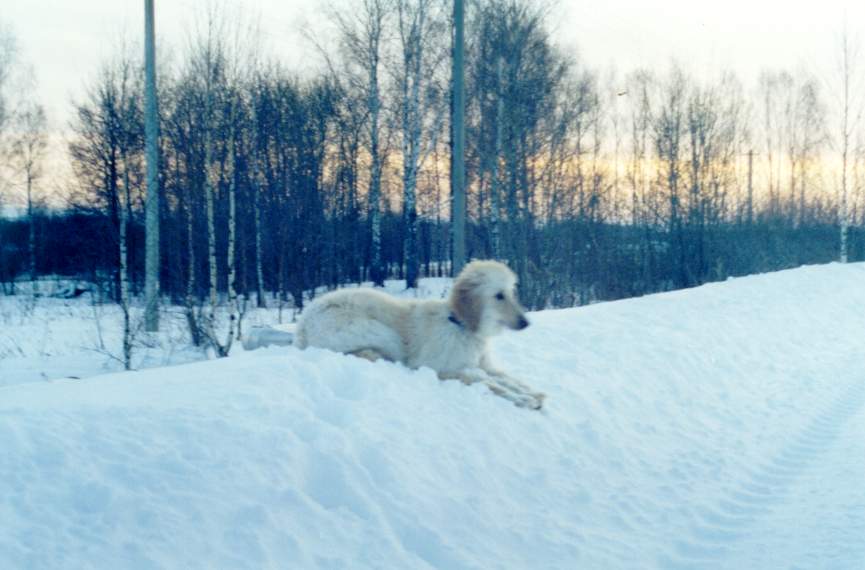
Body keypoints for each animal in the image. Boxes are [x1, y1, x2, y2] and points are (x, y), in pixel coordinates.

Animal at [294, 258, 544, 408]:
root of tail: (303, 323)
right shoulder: (440, 366)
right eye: (498, 295)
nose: (526, 322)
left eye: (512, 292)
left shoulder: (482, 363)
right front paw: (522, 399)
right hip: (379, 331)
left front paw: (530, 392)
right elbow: (487, 382)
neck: (461, 324)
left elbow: (505, 377)